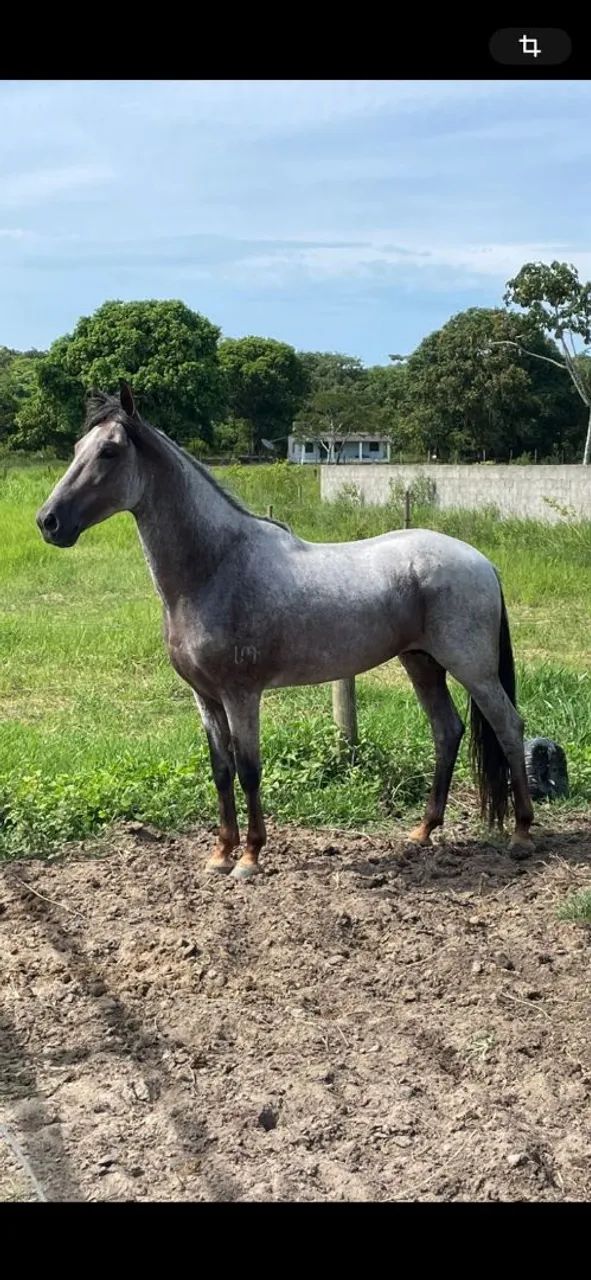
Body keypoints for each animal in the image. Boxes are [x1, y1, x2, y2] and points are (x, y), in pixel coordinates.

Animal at [36, 383, 534, 879]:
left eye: (110, 451)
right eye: (78, 448)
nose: (49, 521)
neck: (215, 567)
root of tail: (481, 560)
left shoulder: (241, 695)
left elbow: (249, 769)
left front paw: (250, 857)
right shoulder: (205, 696)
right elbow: (221, 770)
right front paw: (221, 853)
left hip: (472, 668)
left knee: (509, 727)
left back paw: (522, 835)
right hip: (422, 663)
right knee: (446, 731)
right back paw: (424, 830)